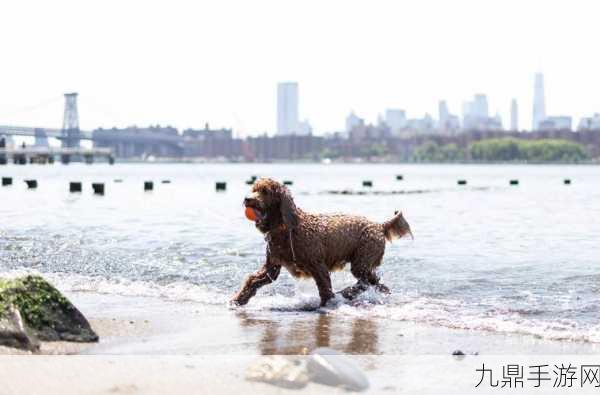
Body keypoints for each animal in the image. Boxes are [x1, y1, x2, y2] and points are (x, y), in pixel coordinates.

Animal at [231, 178, 412, 308]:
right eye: (253, 189)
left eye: (265, 191)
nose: (247, 199)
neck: (286, 227)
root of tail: (380, 225)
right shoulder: (271, 267)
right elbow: (253, 280)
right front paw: (238, 299)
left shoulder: (317, 265)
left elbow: (325, 288)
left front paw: (327, 304)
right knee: (373, 282)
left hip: (362, 261)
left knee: (368, 281)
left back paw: (348, 293)